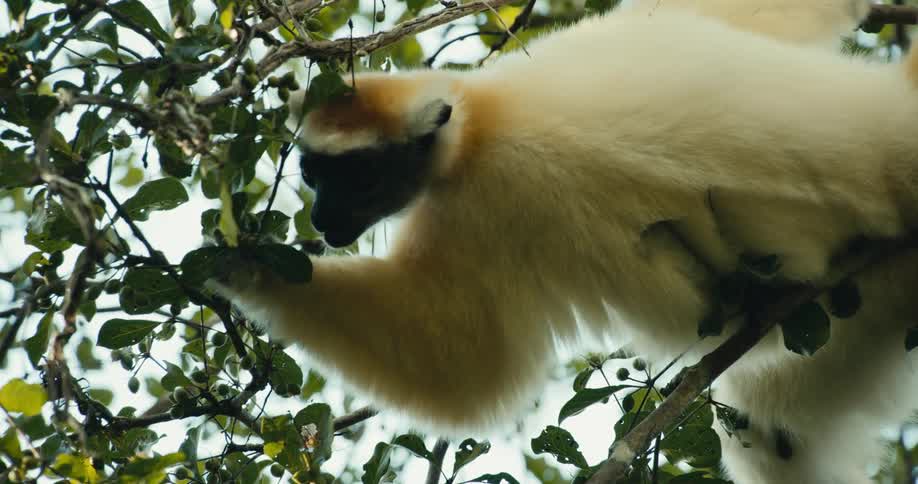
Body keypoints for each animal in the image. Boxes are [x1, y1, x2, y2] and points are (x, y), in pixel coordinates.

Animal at [209, 2, 918, 482]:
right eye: (313, 178)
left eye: (356, 183)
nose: (323, 218)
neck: (481, 114)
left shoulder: (488, 196)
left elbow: (463, 362)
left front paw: (240, 267)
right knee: (770, 428)